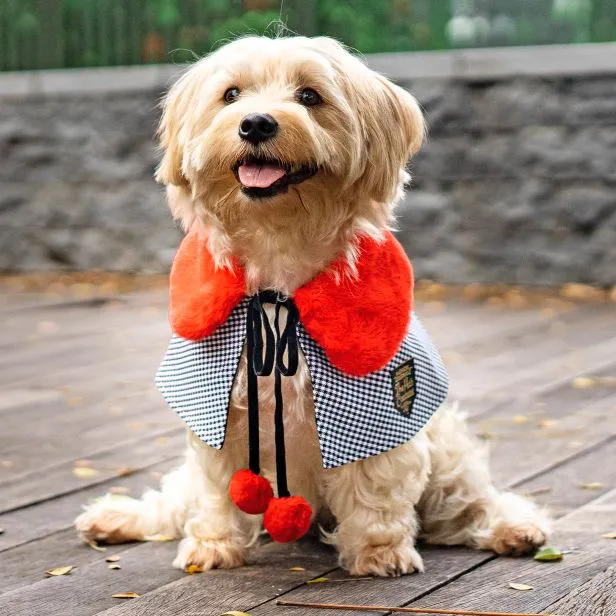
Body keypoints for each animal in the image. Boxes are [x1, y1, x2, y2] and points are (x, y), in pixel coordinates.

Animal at [74, 36, 552, 576]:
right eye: (231, 94)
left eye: (309, 96)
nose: (256, 123)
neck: (278, 274)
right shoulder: (215, 412)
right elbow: (216, 489)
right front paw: (214, 545)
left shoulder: (378, 412)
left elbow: (373, 488)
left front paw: (378, 551)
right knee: (171, 502)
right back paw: (115, 517)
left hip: (448, 453)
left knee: (472, 503)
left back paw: (515, 528)